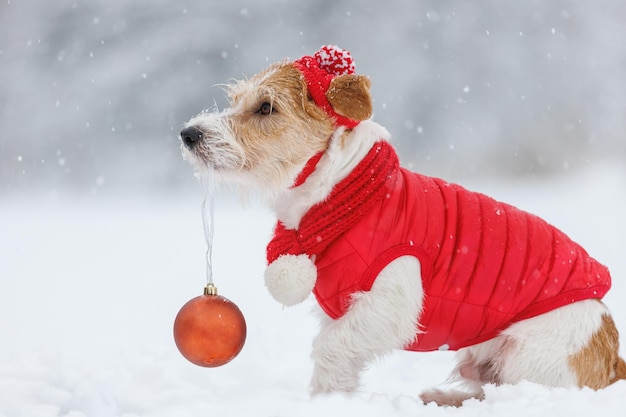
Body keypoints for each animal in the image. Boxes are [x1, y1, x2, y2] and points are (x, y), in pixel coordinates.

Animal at [178, 46, 620, 406]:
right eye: (236, 101)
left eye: (266, 107)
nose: (188, 133)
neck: (344, 195)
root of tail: (615, 360)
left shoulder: (388, 305)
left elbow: (330, 347)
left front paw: (326, 403)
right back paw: (440, 397)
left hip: (525, 355)